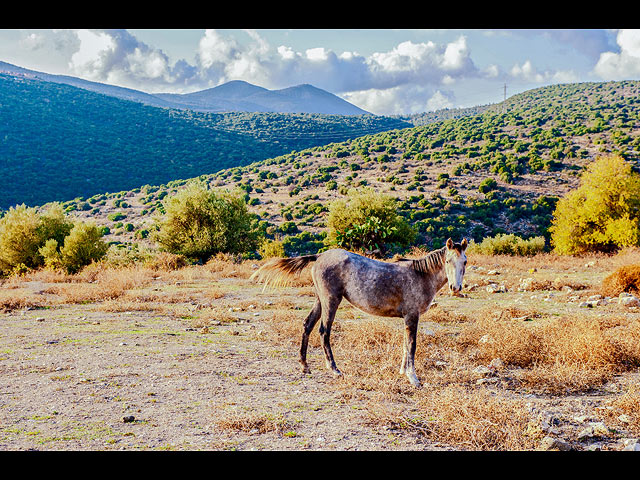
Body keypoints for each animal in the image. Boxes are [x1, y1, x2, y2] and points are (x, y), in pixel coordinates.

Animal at [249, 238, 464, 388]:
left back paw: (304, 366)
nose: (455, 288)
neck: (420, 275)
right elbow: (412, 345)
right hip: (331, 301)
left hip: (320, 300)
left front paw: (403, 372)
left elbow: (405, 344)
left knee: (307, 325)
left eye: (465, 261)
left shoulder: (408, 318)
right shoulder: (412, 316)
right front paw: (413, 378)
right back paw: (334, 369)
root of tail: (320, 256)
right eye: (447, 260)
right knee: (324, 331)